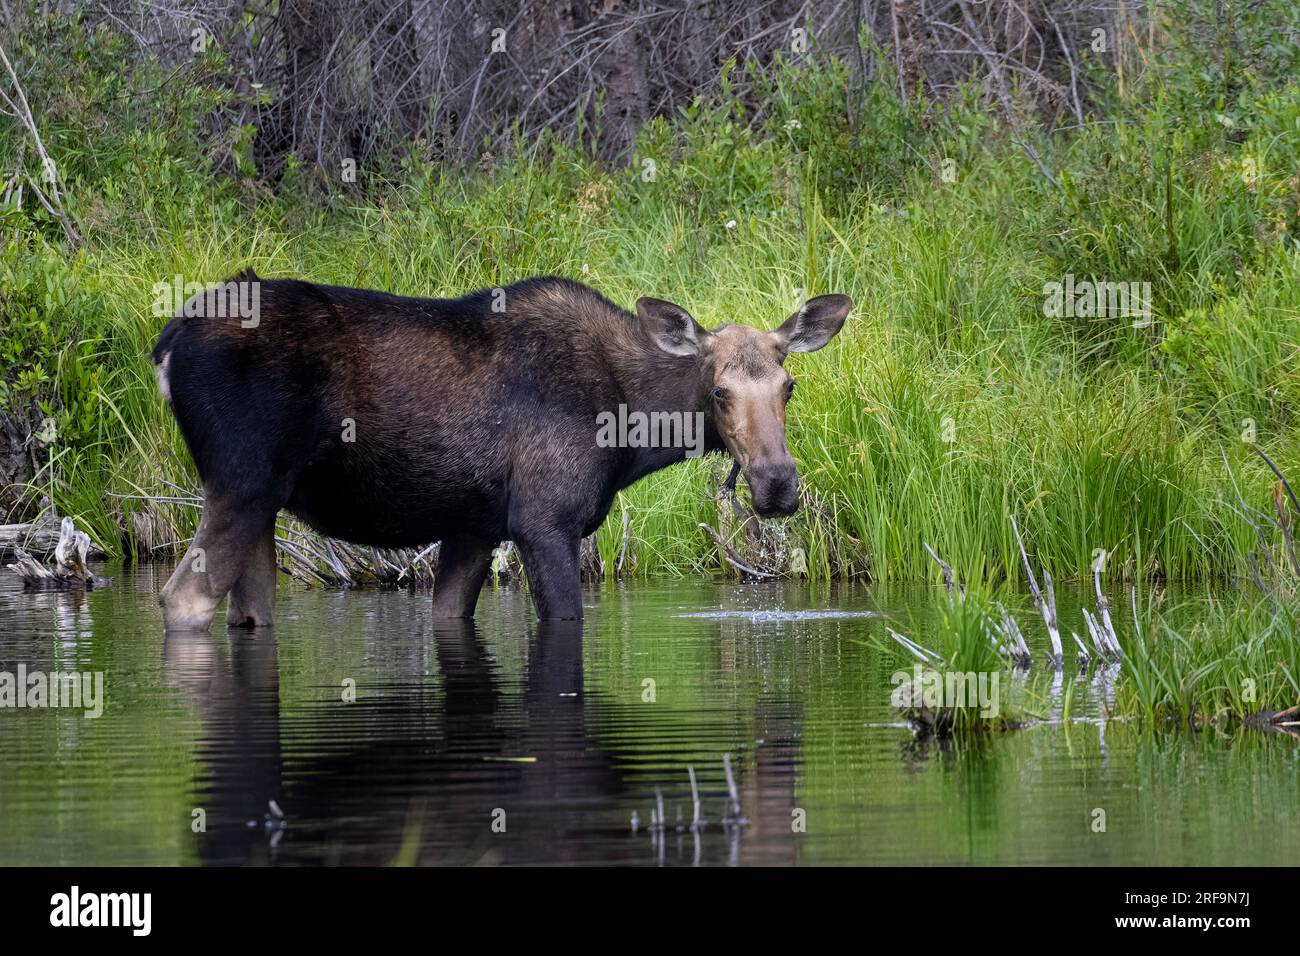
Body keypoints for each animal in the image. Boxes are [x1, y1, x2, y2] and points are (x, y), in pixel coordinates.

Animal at [152, 273, 847, 629]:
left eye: (789, 386)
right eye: (720, 391)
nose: (777, 483)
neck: (631, 429)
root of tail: (166, 345)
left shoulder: (475, 526)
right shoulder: (544, 519)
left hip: (264, 504)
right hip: (241, 484)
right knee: (181, 599)